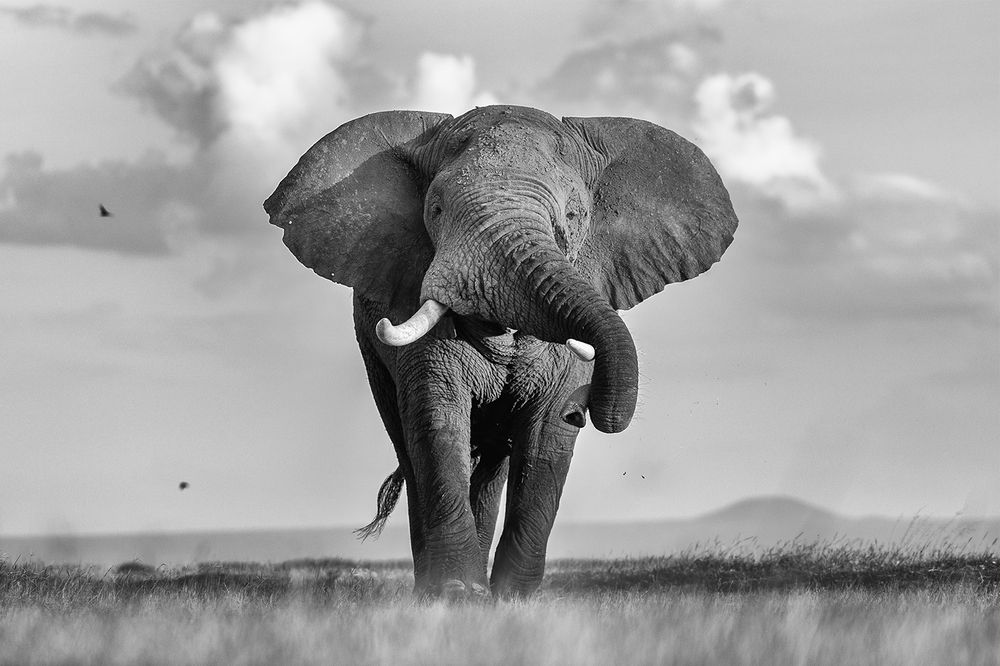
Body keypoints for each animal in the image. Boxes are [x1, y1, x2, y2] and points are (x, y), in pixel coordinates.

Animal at [264, 105, 738, 598]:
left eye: (574, 215)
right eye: (435, 210)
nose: (594, 411)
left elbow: (546, 433)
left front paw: (514, 598)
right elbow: (438, 417)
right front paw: (457, 593)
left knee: (493, 463)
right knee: (412, 451)